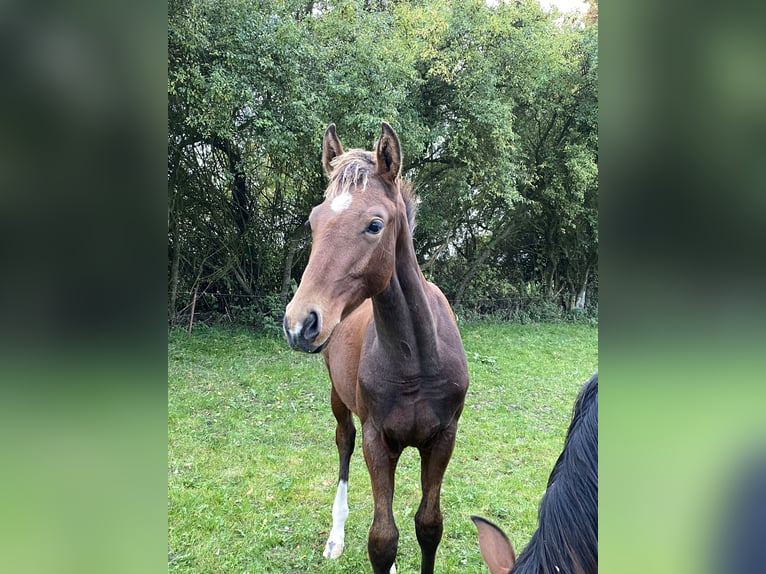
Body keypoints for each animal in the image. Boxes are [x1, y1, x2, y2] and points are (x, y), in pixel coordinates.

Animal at [284, 122, 472, 574]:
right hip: (339, 399)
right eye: (314, 221)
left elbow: (429, 525)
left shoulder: (443, 437)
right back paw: (335, 536)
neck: (415, 360)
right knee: (343, 443)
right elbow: (383, 539)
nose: (300, 322)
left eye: (374, 225)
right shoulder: (377, 439)